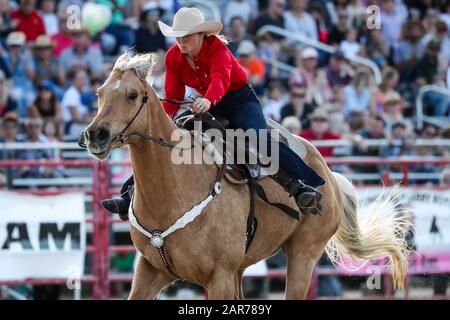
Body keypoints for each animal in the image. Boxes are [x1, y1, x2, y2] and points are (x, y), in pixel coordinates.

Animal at [84, 53, 412, 298]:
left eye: (132, 95)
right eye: (99, 93)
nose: (95, 135)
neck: (173, 187)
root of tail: (330, 176)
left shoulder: (219, 277)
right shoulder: (150, 270)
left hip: (304, 254)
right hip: (242, 268)